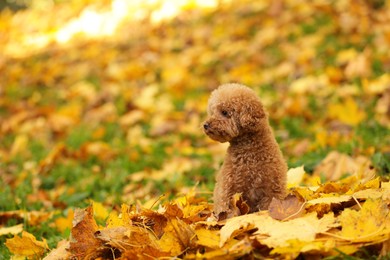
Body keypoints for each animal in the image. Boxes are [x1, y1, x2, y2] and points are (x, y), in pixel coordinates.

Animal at [203, 84, 288, 217]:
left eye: (224, 112)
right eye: (212, 112)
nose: (206, 125)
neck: (249, 152)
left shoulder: (272, 189)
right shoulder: (227, 189)